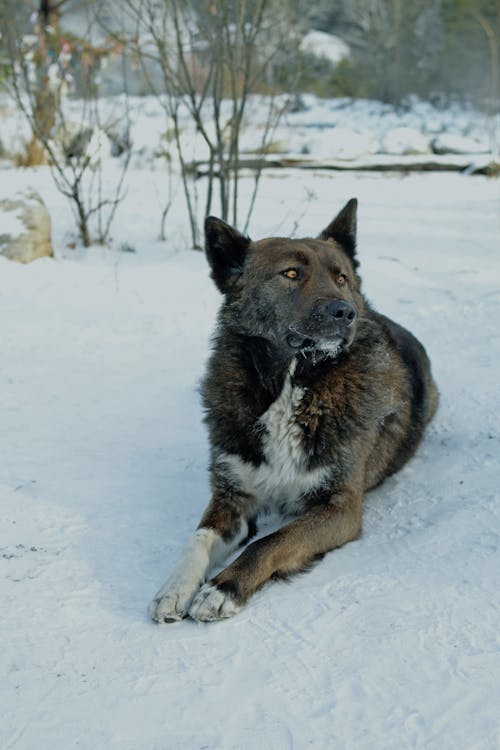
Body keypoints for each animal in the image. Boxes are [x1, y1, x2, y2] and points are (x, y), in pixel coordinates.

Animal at [148, 198, 438, 624]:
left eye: (341, 278)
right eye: (290, 273)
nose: (345, 313)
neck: (290, 384)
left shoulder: (339, 508)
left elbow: (272, 541)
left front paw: (222, 587)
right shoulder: (233, 497)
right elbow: (197, 539)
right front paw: (174, 588)